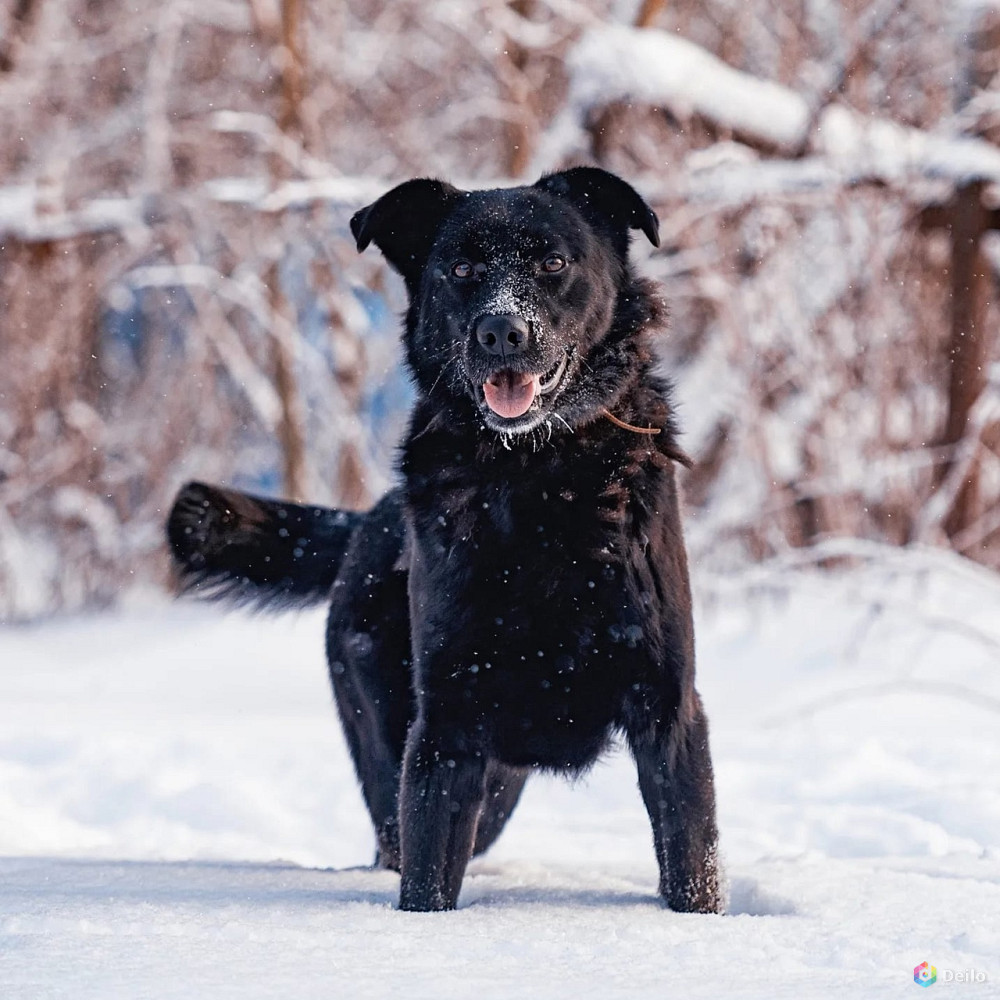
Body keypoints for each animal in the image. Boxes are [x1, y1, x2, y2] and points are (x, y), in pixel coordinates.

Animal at [168, 166, 724, 916]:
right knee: (396, 840)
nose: (502, 332)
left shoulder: (668, 712)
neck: (537, 483)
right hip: (397, 742)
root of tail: (365, 523)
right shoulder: (445, 729)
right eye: (461, 270)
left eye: (554, 263)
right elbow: (427, 875)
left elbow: (692, 865)